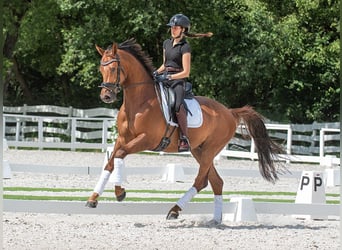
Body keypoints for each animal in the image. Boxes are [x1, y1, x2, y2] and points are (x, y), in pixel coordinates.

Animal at [86, 39, 286, 225]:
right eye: (101, 68)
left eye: (113, 68)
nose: (106, 96)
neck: (140, 103)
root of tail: (229, 112)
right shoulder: (123, 138)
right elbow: (110, 163)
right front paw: (93, 199)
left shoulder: (147, 140)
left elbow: (120, 155)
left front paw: (120, 192)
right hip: (198, 149)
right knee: (216, 182)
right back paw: (215, 220)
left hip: (209, 150)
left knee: (201, 181)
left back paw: (174, 210)